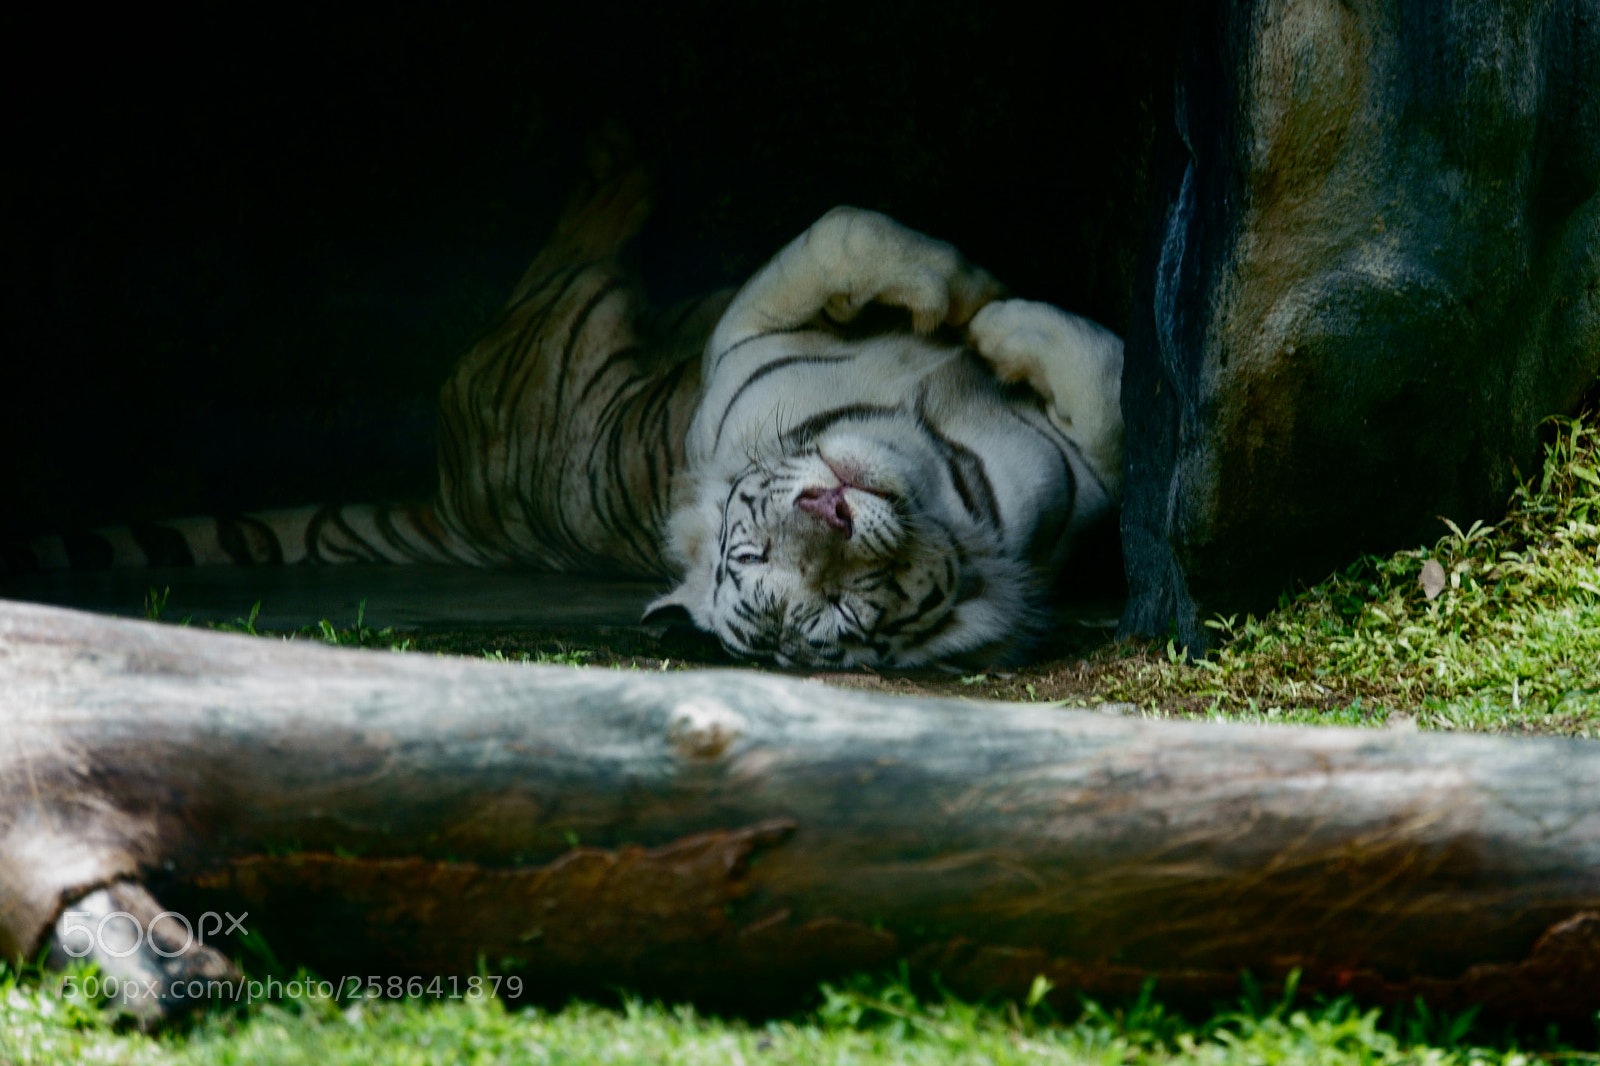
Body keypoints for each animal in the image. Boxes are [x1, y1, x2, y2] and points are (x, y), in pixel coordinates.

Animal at [8, 144, 1124, 670]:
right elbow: (1106, 390)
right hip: (566, 315)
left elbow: (855, 232)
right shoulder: (743, 343)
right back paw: (615, 155)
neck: (917, 446)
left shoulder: (746, 338)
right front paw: (996, 314)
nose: (832, 510)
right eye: (830, 605)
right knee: (581, 243)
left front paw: (974, 310)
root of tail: (451, 497)